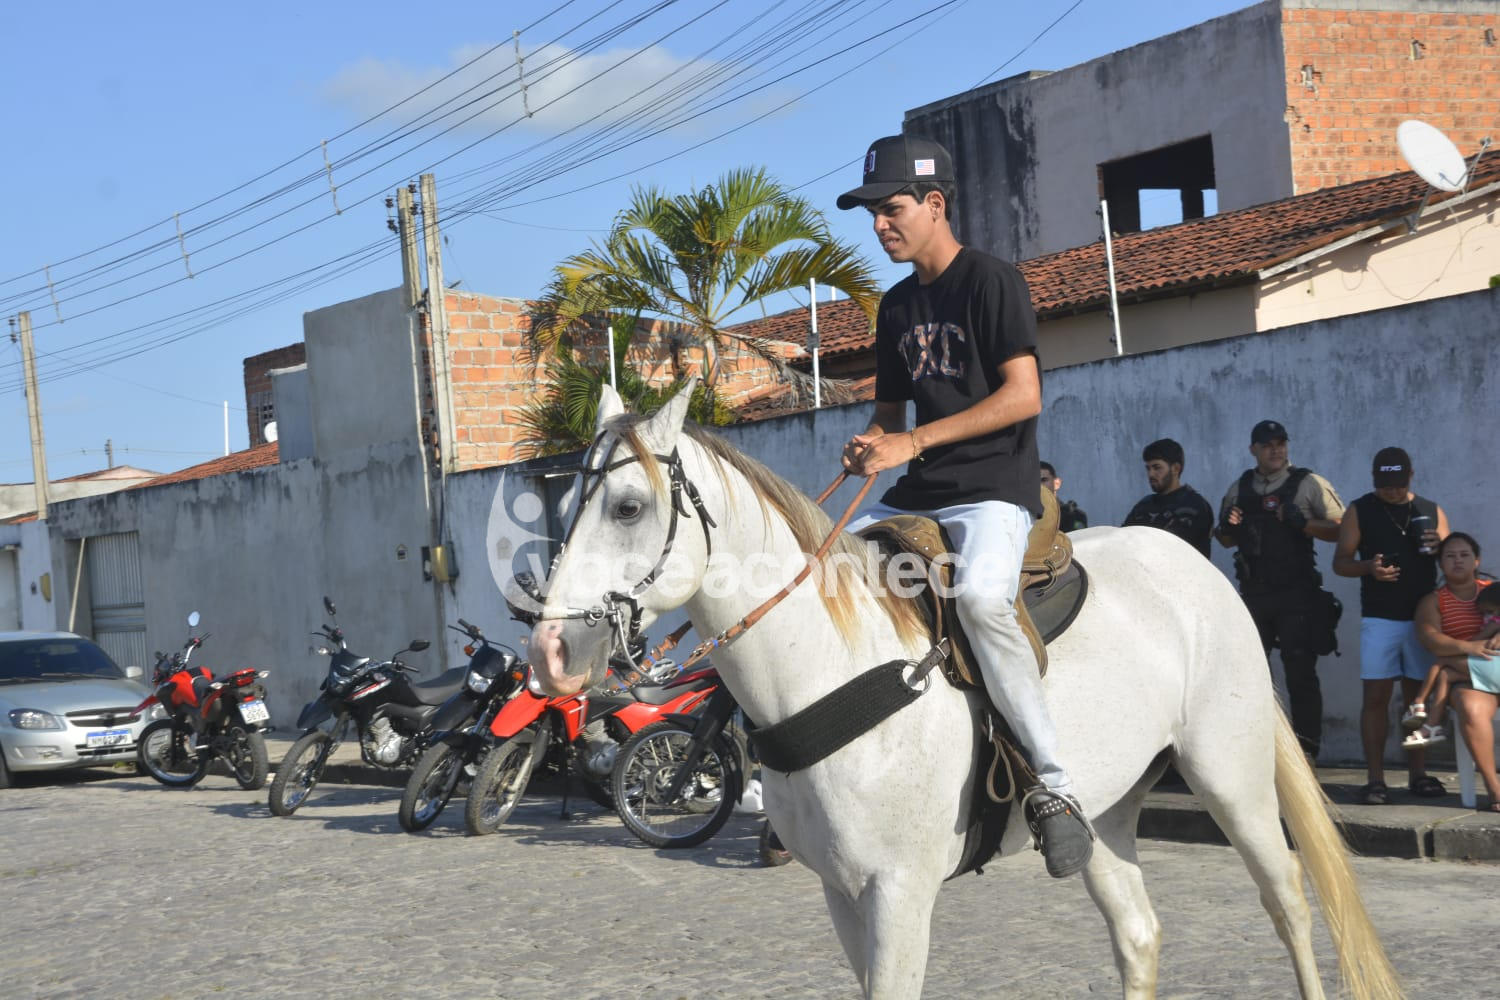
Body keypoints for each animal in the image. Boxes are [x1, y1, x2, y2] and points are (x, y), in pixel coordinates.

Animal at [524, 385, 1402, 1000]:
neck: (827, 666)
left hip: (1232, 777)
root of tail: (1190, 565)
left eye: (628, 507)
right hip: (1110, 808)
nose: (550, 653)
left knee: (1289, 903)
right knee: (1138, 932)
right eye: (563, 507)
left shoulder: (899, 892)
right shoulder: (844, 893)